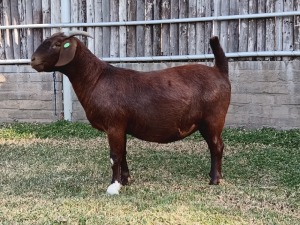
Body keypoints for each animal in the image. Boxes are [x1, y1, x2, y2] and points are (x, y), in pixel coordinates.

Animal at [30, 30, 231, 195]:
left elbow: (114, 156)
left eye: (57, 44)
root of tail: (220, 71)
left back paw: (215, 179)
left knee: (217, 146)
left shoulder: (114, 124)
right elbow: (123, 152)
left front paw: (113, 186)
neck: (96, 78)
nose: (33, 60)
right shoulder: (121, 126)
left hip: (213, 119)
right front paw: (125, 180)